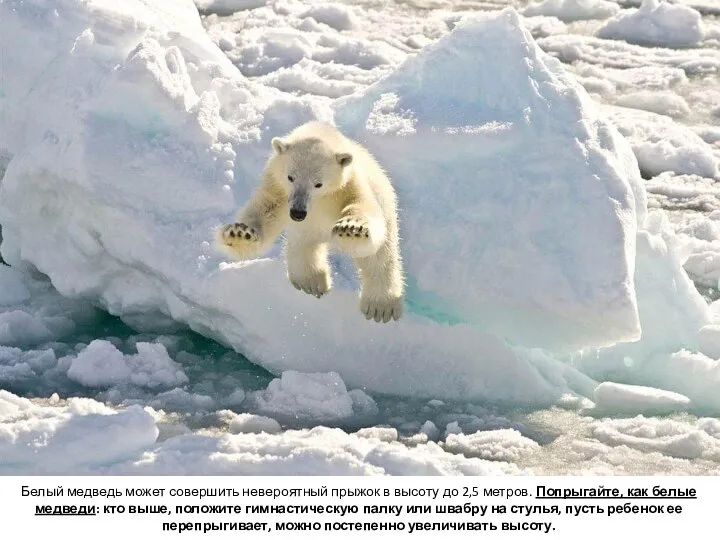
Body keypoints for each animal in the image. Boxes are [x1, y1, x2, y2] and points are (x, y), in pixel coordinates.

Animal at [214, 121, 404, 322]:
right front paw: (240, 234)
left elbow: (362, 208)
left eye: (318, 183)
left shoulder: (349, 185)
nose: (298, 212)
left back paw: (381, 306)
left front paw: (351, 229)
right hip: (306, 232)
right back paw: (312, 281)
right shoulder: (277, 185)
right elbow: (264, 210)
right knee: (304, 248)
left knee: (380, 257)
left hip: (386, 204)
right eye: (291, 177)